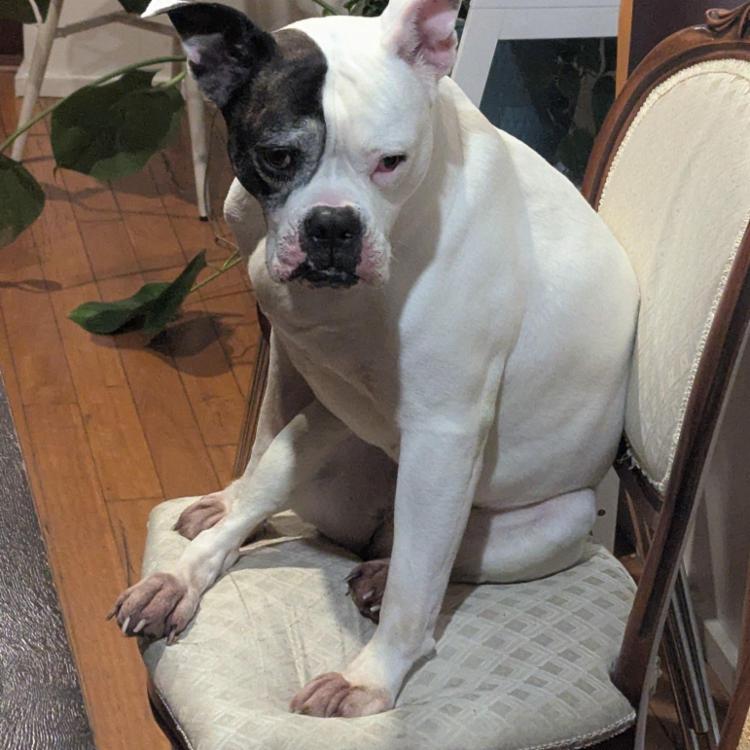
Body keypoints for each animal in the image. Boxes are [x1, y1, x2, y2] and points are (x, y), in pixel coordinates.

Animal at [111, 0, 639, 719]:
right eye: (277, 156)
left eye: (393, 161)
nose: (333, 226)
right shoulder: (306, 372)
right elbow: (263, 453)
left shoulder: (443, 436)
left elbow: (421, 586)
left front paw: (370, 680)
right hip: (335, 437)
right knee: (268, 492)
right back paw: (186, 570)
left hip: (563, 517)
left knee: (438, 559)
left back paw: (379, 576)